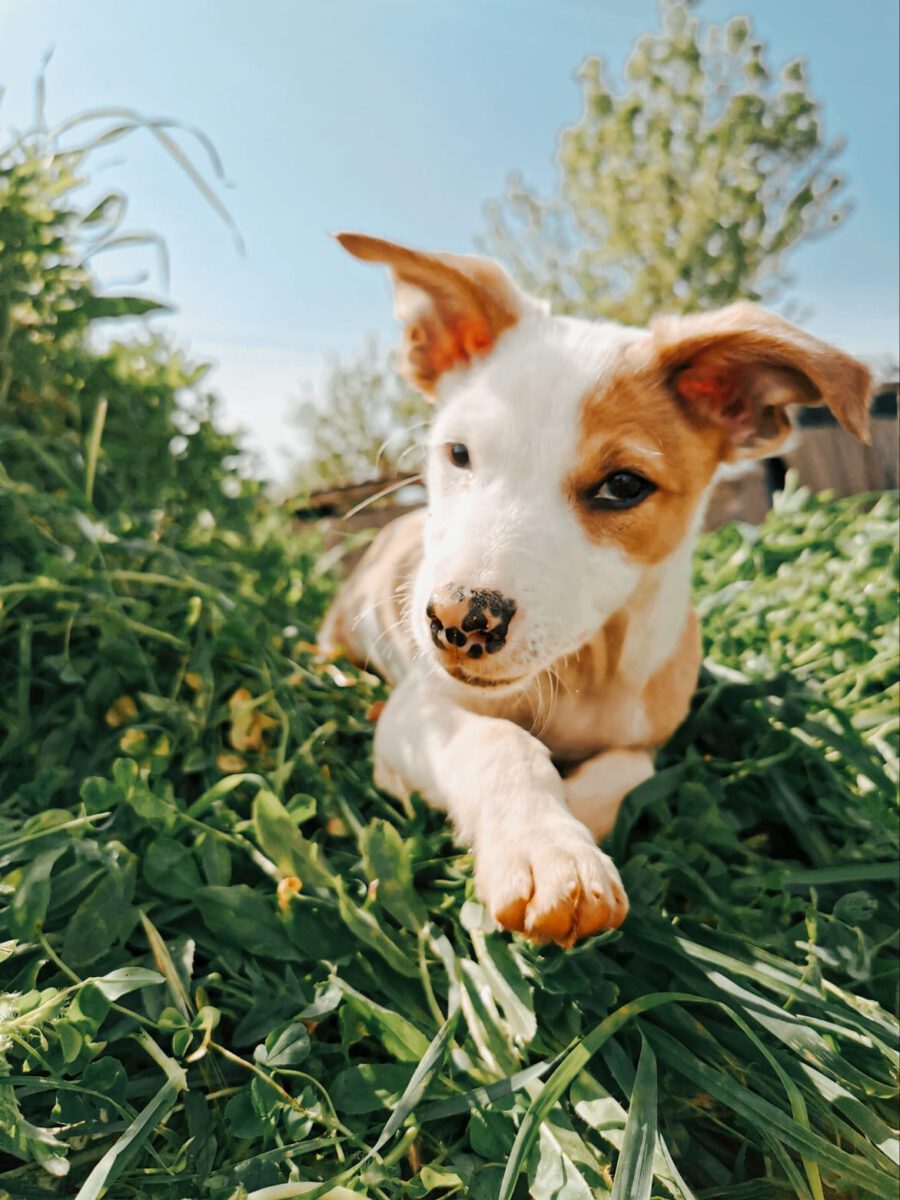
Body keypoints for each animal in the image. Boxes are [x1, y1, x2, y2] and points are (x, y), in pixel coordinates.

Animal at [319, 233, 871, 947]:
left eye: (624, 486)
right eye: (459, 454)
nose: (456, 622)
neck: (587, 668)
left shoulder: (648, 739)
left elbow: (625, 775)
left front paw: (572, 825)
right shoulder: (416, 715)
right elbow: (500, 743)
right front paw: (546, 847)